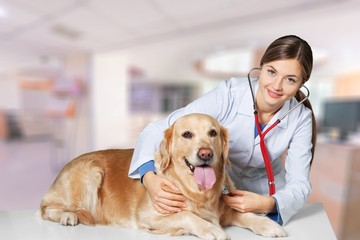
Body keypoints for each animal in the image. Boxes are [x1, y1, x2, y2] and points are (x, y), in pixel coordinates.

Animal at [40, 113, 286, 239]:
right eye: (186, 134)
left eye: (213, 133)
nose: (206, 154)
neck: (197, 192)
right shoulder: (149, 216)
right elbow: (188, 216)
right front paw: (210, 229)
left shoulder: (226, 209)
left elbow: (246, 214)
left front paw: (269, 225)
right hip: (91, 172)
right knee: (46, 208)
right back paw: (67, 216)